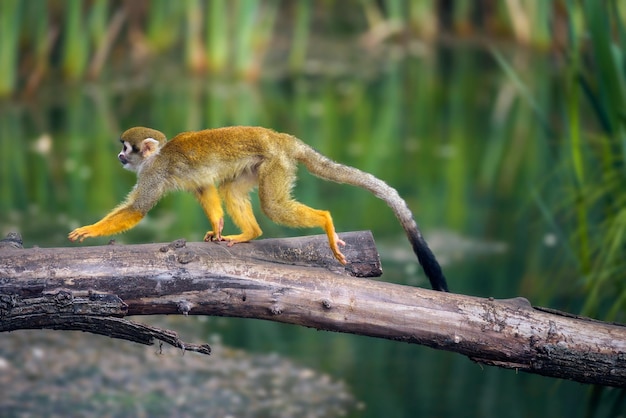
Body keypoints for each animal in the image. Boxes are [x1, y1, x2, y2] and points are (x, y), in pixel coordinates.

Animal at [67, 125, 448, 292]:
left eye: (126, 148)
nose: (119, 157)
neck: (157, 156)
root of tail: (283, 138)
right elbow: (206, 188)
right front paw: (218, 226)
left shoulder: (154, 173)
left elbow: (139, 209)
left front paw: (89, 229)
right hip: (261, 163)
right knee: (230, 188)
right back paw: (249, 233)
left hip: (276, 162)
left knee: (275, 206)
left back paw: (325, 222)